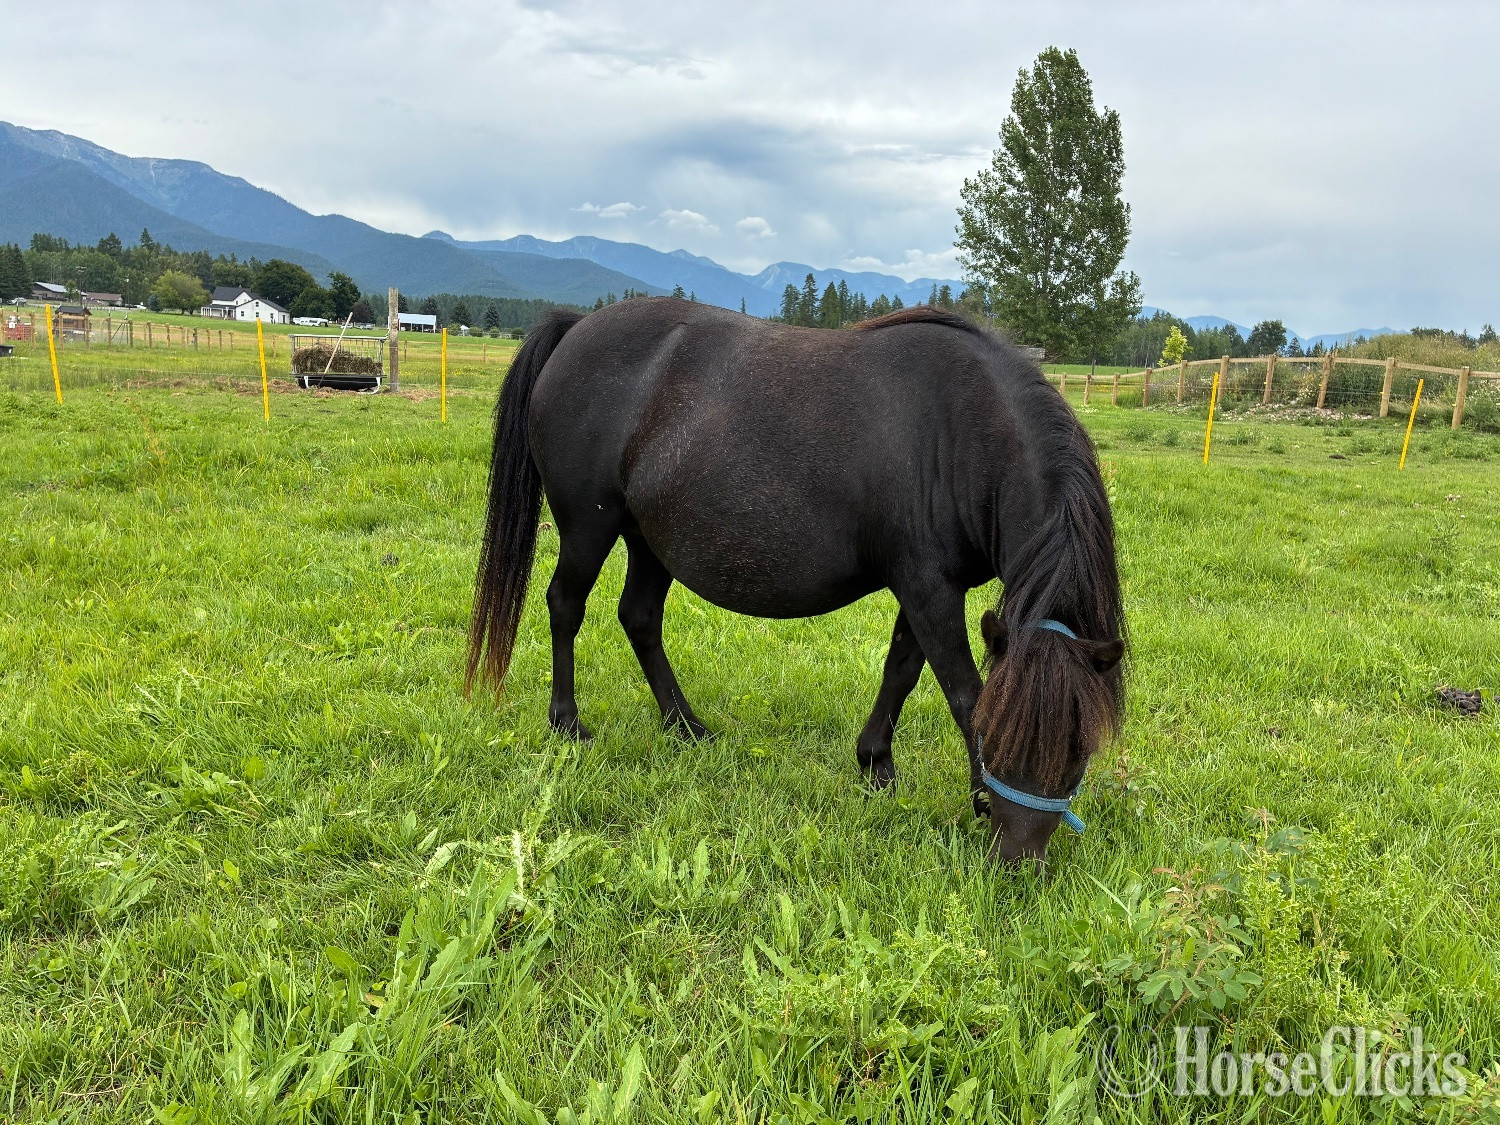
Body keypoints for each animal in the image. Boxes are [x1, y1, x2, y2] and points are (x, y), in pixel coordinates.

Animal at [466, 298, 1125, 865]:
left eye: (1080, 749)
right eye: (1000, 735)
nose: (1019, 859)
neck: (966, 427)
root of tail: (577, 328)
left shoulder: (928, 587)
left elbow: (902, 670)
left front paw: (876, 765)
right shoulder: (927, 587)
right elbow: (962, 690)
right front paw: (970, 792)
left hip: (649, 540)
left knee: (639, 619)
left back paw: (685, 727)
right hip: (588, 527)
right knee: (564, 605)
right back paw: (568, 723)